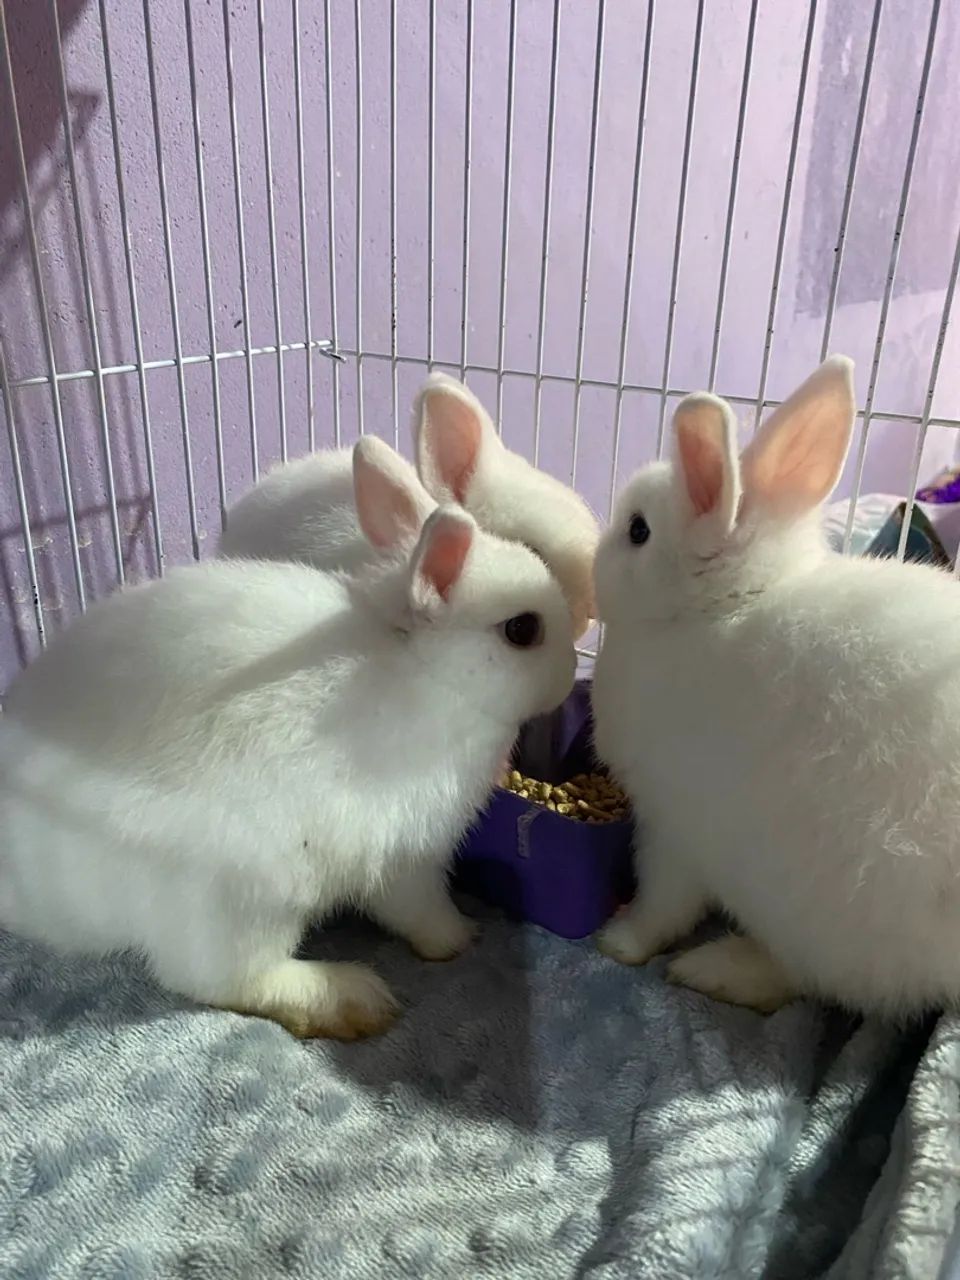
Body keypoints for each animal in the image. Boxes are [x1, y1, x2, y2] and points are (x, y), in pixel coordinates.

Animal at [0, 436, 576, 1039]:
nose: (567, 675)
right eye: (522, 630)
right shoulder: (408, 851)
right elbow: (420, 909)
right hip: (244, 895)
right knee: (217, 979)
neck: (426, 673)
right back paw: (352, 998)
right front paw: (460, 938)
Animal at [592, 354, 960, 1019]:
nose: (589, 558)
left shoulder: (676, 826)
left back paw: (714, 969)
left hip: (825, 910)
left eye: (637, 531)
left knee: (810, 983)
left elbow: (664, 901)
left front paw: (620, 942)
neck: (724, 607)